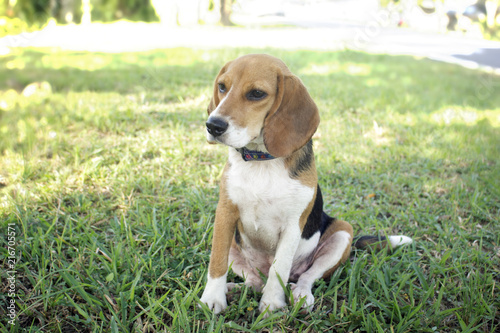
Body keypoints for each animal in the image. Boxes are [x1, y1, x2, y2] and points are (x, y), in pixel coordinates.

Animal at [199, 54, 410, 314]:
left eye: (257, 94)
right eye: (222, 87)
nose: (213, 125)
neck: (261, 162)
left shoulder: (293, 225)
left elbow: (280, 268)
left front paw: (271, 305)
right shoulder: (225, 215)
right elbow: (216, 262)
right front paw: (213, 298)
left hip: (343, 233)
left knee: (305, 277)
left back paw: (300, 294)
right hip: (234, 244)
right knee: (254, 281)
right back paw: (235, 289)